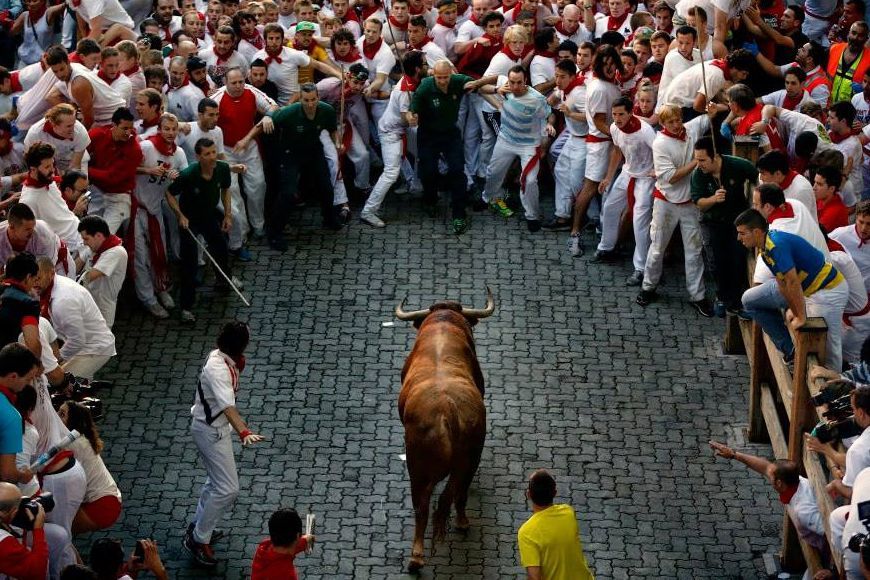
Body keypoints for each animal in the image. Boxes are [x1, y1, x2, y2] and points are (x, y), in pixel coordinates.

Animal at [396, 290, 498, 572]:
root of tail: (447, 408)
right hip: (468, 458)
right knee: (456, 492)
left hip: (419, 466)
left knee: (424, 505)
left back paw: (418, 556)